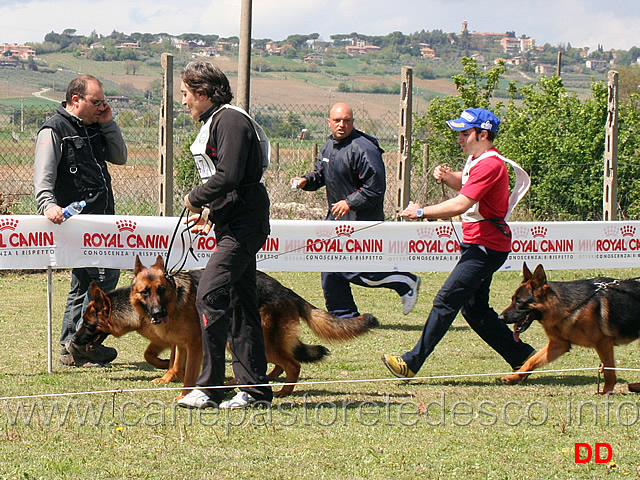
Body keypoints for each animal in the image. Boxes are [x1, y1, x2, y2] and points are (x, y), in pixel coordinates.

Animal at [82, 255, 378, 398]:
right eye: (145, 292)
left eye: (87, 323)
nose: (75, 341)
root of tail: (285, 289)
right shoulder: (178, 341)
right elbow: (171, 361)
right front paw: (167, 375)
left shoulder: (190, 343)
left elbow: (169, 362)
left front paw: (180, 385)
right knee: (277, 363)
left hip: (255, 340)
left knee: (293, 364)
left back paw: (281, 391)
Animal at [500, 262, 640, 394]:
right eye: (512, 299)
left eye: (519, 302)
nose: (500, 318)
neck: (569, 306)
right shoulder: (558, 344)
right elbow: (531, 361)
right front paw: (515, 377)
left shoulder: (603, 343)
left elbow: (608, 371)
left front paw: (606, 392)